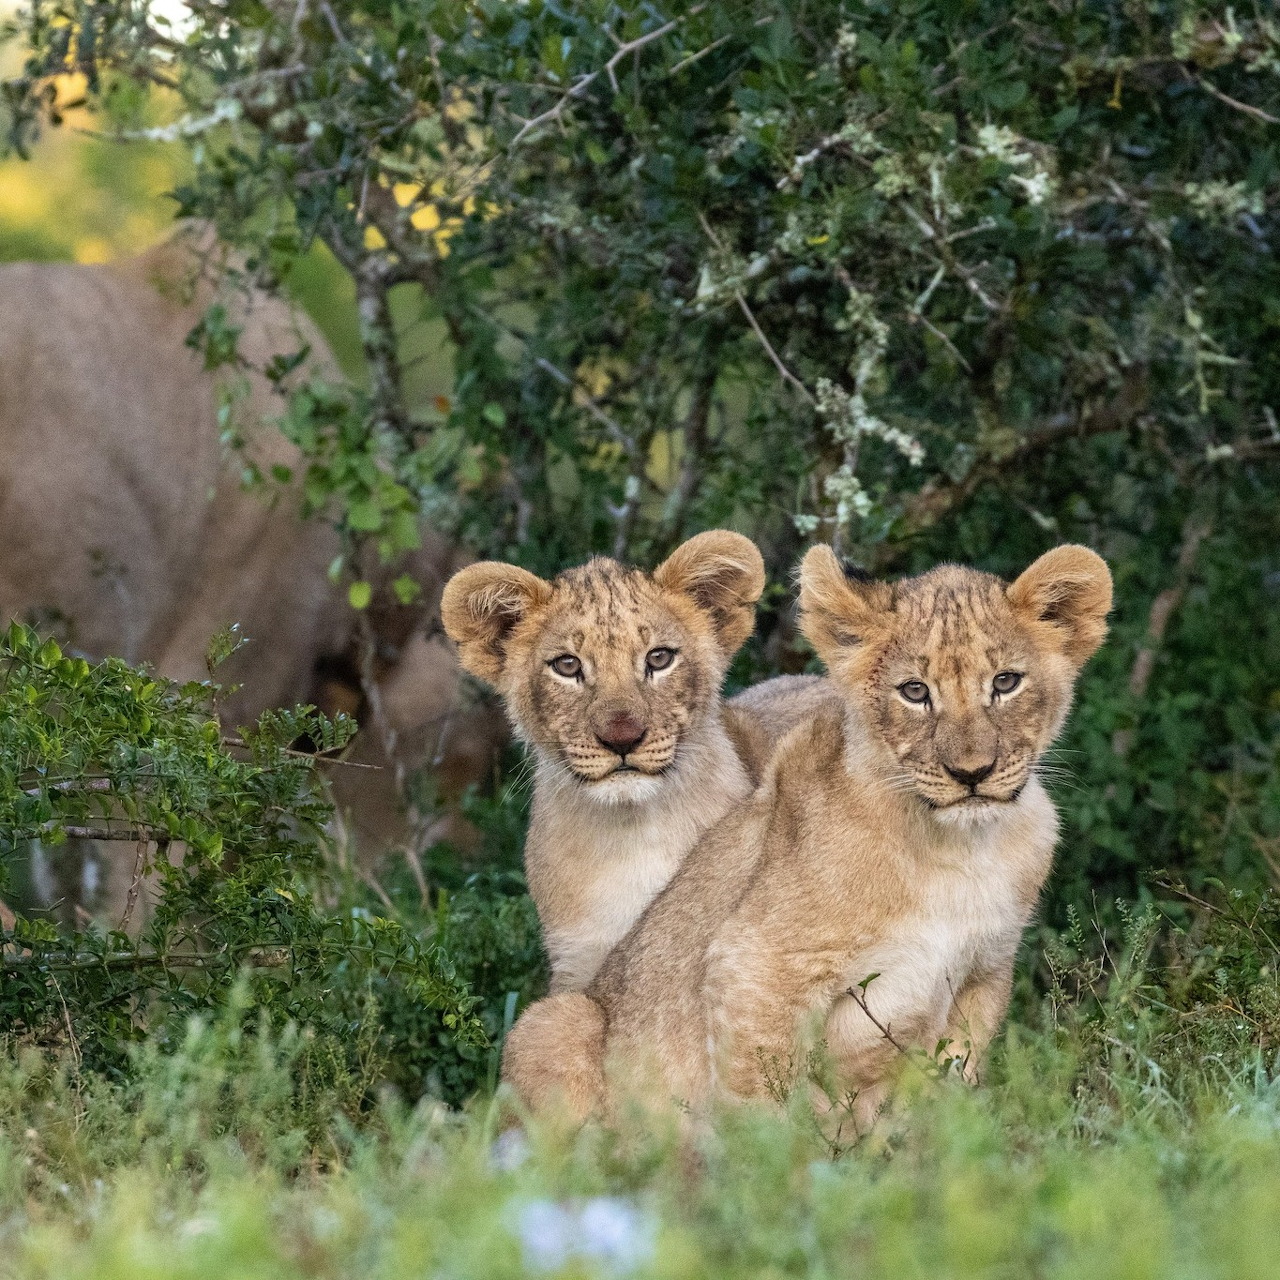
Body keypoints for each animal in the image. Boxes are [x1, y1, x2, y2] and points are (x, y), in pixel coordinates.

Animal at [500, 544, 1112, 1129]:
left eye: (1005, 682)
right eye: (914, 692)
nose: (971, 773)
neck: (956, 853)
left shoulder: (984, 976)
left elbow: (941, 1102)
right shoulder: (755, 966)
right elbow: (768, 1108)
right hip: (556, 1018)